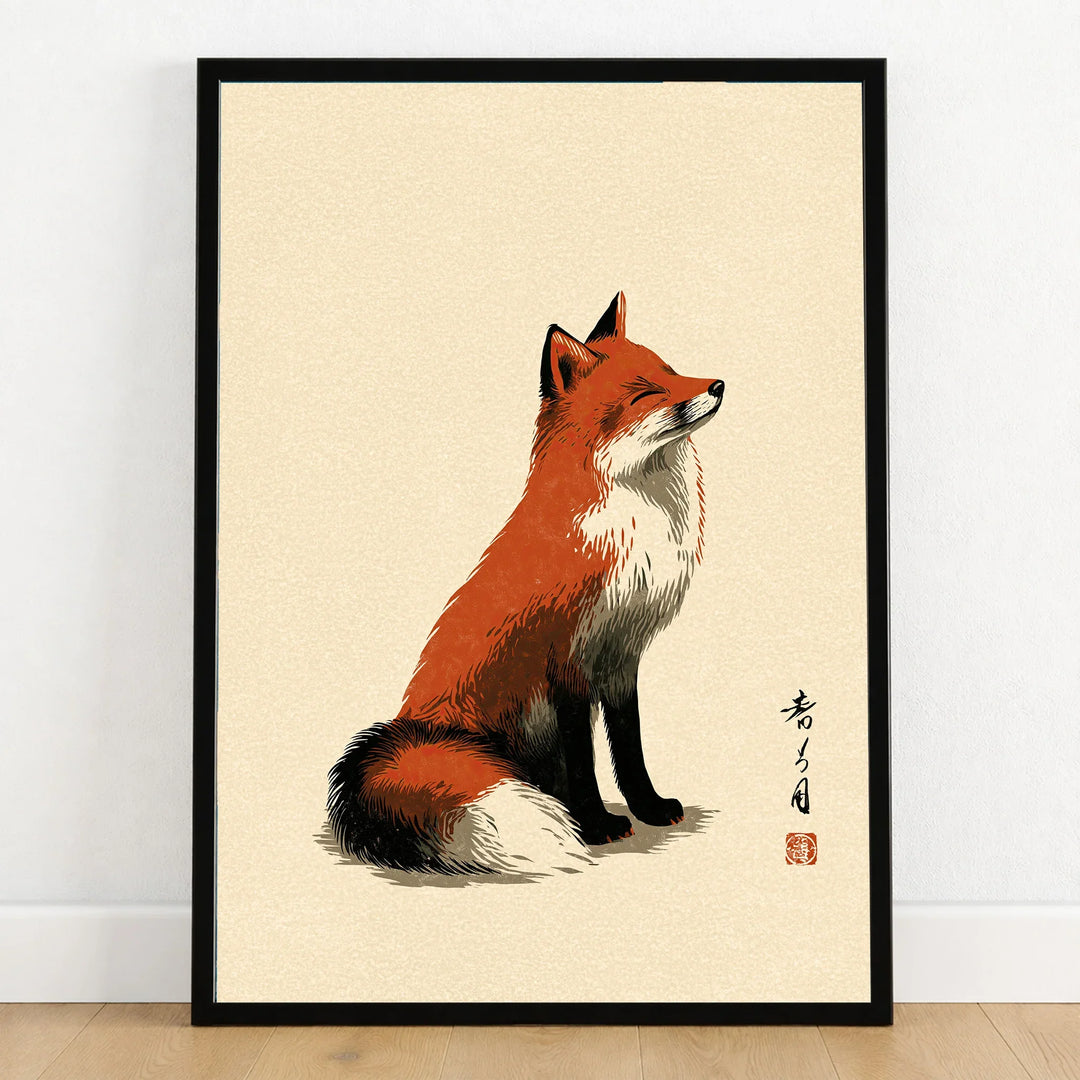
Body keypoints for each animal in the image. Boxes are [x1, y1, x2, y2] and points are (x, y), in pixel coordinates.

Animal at [328, 293, 724, 875]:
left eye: (671, 372)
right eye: (645, 392)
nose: (718, 385)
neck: (633, 525)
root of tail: (412, 737)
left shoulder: (620, 655)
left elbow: (629, 747)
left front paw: (649, 808)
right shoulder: (564, 660)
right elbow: (584, 756)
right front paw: (596, 827)